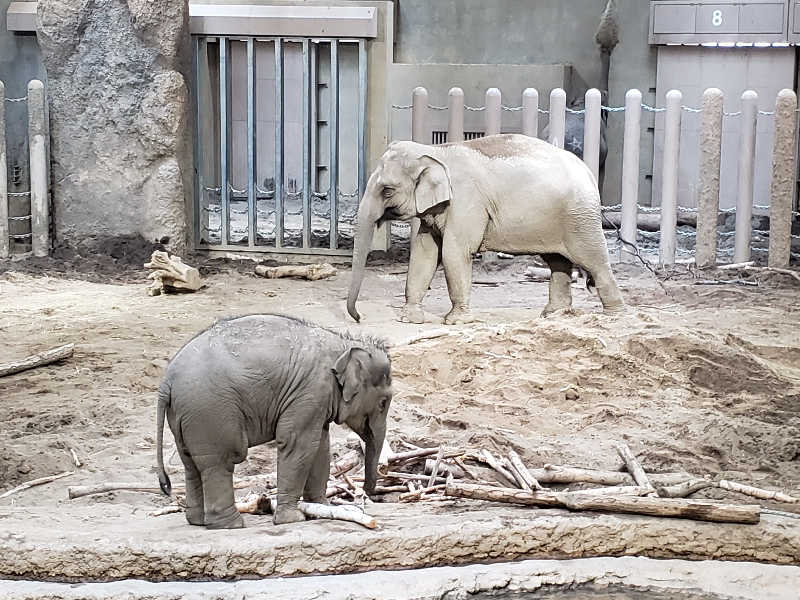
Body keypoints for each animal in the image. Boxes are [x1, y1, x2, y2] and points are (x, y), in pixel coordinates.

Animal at [155, 314, 392, 528]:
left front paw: (322, 507)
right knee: (221, 461)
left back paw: (198, 521)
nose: (370, 493)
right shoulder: (311, 391)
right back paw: (231, 525)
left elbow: (321, 446)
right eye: (383, 403)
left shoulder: (316, 400)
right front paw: (293, 519)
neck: (343, 343)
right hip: (210, 411)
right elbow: (298, 443)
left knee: (191, 464)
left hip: (185, 416)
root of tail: (166, 382)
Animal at [346, 134, 624, 326]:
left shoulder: (466, 202)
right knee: (557, 261)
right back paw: (553, 315)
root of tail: (588, 171)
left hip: (580, 218)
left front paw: (455, 322)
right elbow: (424, 254)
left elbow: (454, 253)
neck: (435, 151)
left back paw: (613, 315)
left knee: (593, 260)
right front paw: (409, 319)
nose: (359, 318)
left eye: (387, 190)